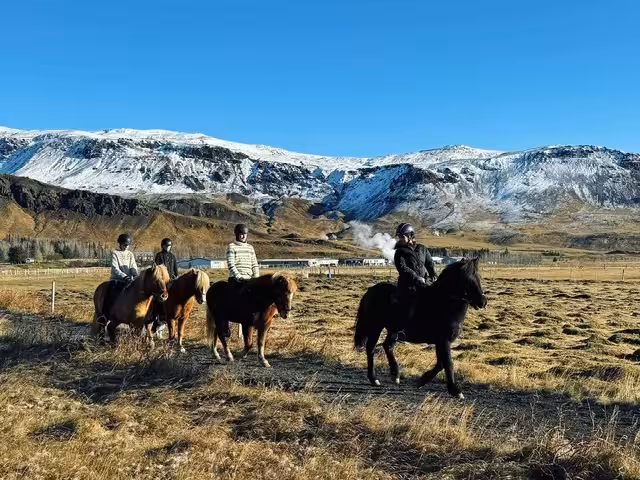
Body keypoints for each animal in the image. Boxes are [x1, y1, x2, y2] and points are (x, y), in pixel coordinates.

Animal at [353, 257, 487, 399]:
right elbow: (448, 363)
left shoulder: (440, 342)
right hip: (376, 327)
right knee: (371, 349)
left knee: (387, 346)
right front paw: (455, 390)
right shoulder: (444, 340)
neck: (443, 303)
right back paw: (374, 379)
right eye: (468, 279)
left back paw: (395, 375)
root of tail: (371, 290)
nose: (483, 302)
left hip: (392, 330)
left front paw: (422, 380)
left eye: (478, 277)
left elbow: (440, 364)